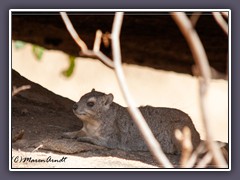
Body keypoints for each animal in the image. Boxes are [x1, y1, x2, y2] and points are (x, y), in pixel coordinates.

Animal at [62, 89, 201, 154]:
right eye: (80, 98)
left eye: (90, 104)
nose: (74, 106)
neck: (91, 125)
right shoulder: (84, 129)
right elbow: (77, 132)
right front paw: (67, 134)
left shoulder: (113, 139)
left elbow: (98, 141)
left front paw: (84, 139)